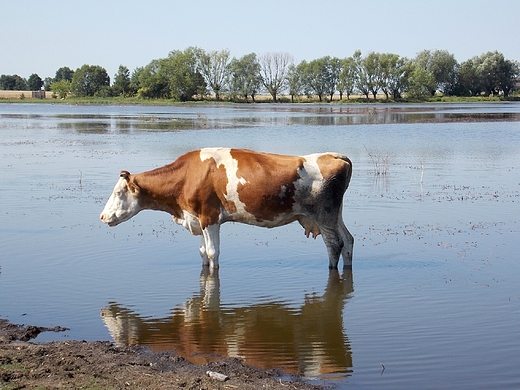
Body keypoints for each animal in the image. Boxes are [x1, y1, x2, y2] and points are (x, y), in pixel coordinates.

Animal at [99, 148, 354, 270]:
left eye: (118, 193)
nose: (102, 216)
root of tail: (334, 155)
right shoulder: (198, 218)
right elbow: (203, 252)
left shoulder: (209, 217)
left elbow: (213, 253)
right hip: (337, 213)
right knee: (348, 240)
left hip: (324, 213)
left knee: (334, 244)